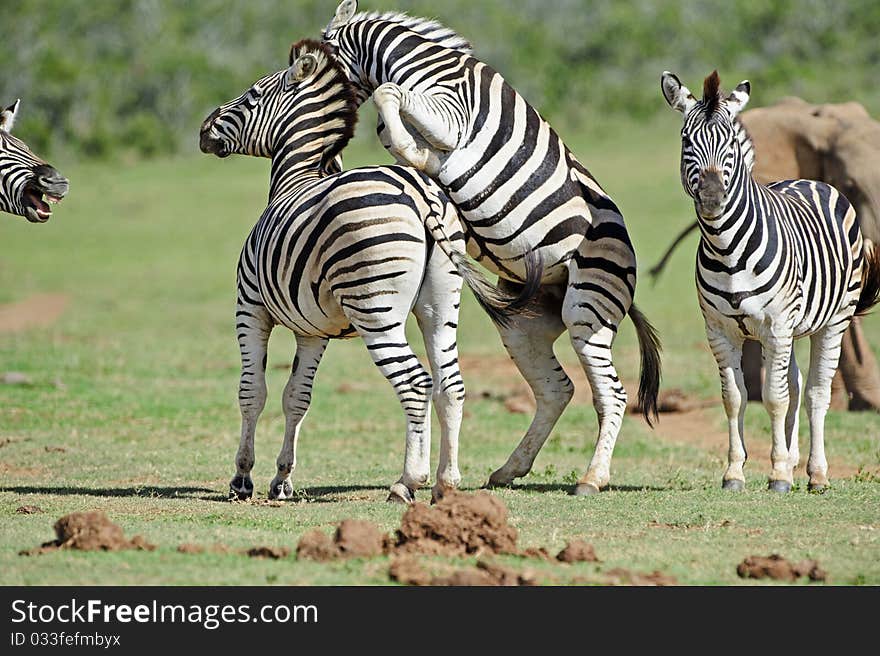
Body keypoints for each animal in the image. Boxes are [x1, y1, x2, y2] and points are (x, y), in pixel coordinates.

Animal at [199, 39, 532, 502]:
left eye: (251, 95)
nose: (203, 130)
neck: (295, 178)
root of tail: (419, 191)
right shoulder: (312, 331)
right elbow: (296, 396)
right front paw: (282, 479)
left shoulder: (250, 308)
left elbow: (253, 392)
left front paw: (242, 478)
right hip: (440, 304)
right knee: (450, 385)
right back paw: (446, 482)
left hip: (374, 307)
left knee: (415, 383)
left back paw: (408, 481)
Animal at [322, 0, 660, 494]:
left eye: (309, 59)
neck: (416, 62)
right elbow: (391, 124)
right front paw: (419, 157)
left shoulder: (450, 113)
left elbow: (390, 97)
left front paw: (419, 153)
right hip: (525, 325)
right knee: (557, 389)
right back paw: (508, 470)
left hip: (587, 309)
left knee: (611, 395)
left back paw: (591, 478)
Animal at [660, 72, 880, 492]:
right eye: (685, 140)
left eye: (730, 142)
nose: (711, 197)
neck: (727, 250)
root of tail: (809, 180)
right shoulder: (720, 331)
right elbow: (735, 397)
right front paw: (735, 472)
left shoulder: (776, 327)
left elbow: (774, 398)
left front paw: (778, 474)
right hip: (790, 331)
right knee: (794, 384)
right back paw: (794, 463)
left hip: (832, 320)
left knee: (814, 392)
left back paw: (815, 473)